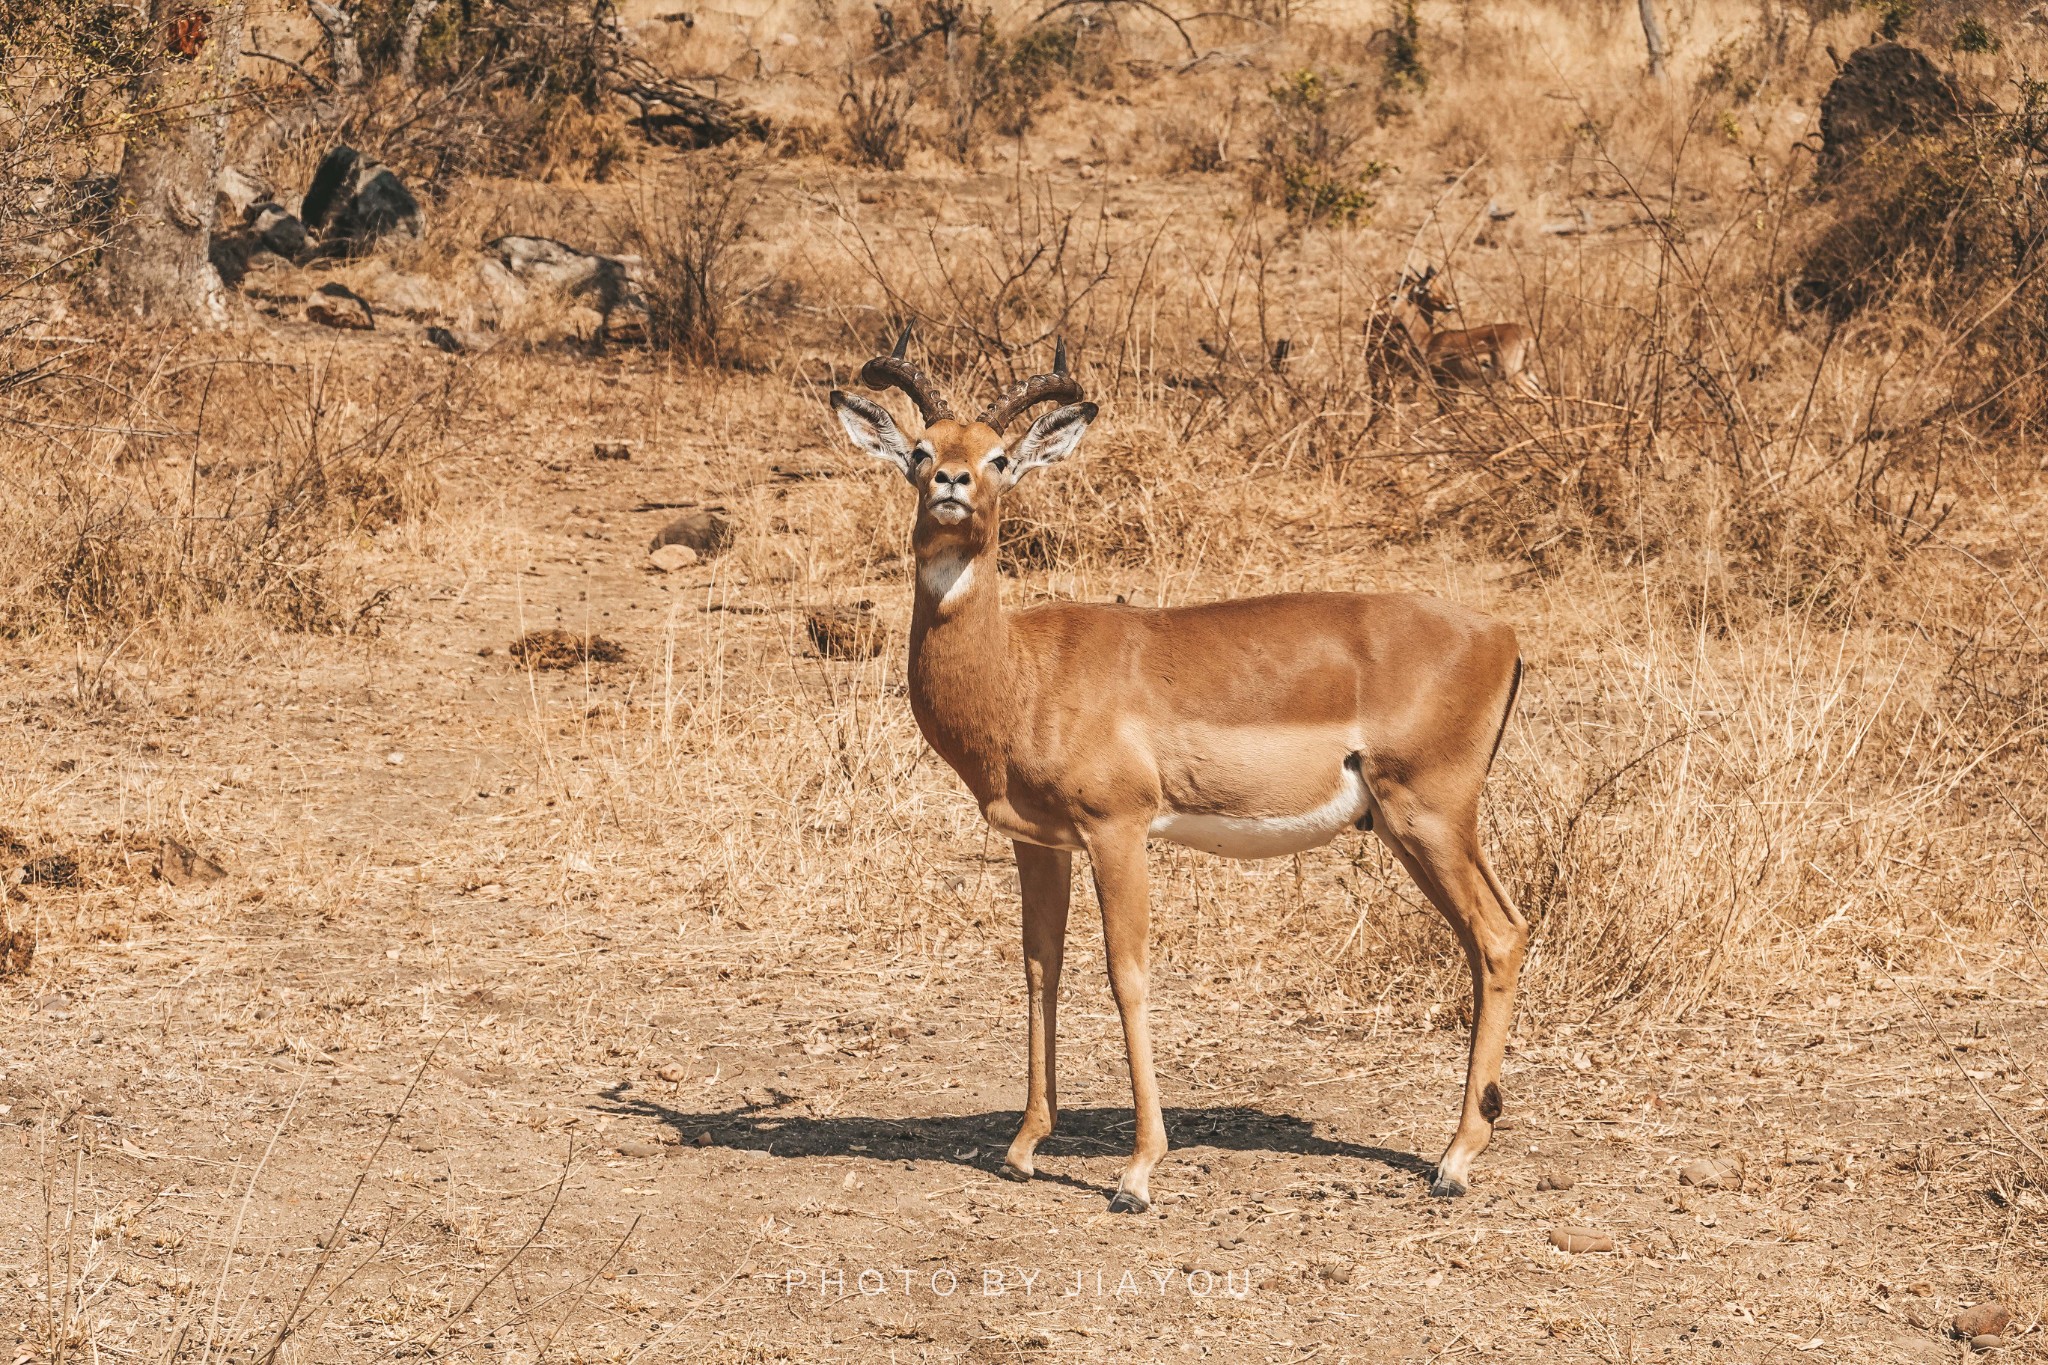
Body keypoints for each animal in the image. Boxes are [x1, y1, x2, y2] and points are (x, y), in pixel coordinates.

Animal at [827, 335, 1523, 1211]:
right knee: (1497, 934)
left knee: (1498, 936)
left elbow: (1128, 976)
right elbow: (1039, 966)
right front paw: (1023, 1146)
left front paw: (1137, 1172)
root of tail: (1501, 634)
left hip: (1428, 817)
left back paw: (1453, 1162)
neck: (1023, 670)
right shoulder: (1039, 841)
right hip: (1416, 829)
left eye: (998, 457)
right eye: (921, 450)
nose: (952, 485)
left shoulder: (1118, 830)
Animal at [1376, 263, 1540, 397]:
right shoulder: (1454, 384)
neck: (1428, 340)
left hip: (1512, 376)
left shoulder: (1443, 382)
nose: (1377, 305)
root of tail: (1529, 334)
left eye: (1393, 296)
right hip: (1528, 374)